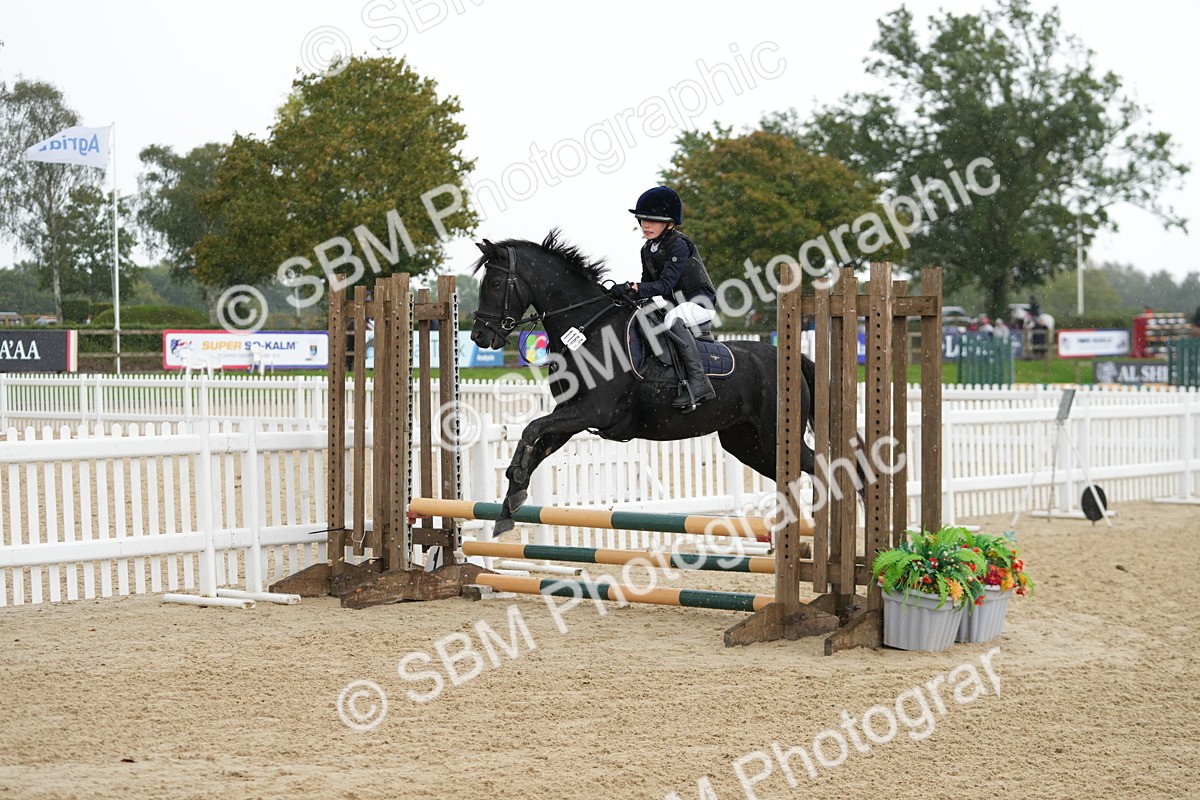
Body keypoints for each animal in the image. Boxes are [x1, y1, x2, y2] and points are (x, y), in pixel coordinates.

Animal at [469, 230, 817, 536]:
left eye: (495, 283)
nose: (479, 336)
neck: (587, 329)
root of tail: (791, 358)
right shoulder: (571, 415)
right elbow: (538, 442)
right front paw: (509, 506)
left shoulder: (593, 411)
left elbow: (532, 429)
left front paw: (514, 488)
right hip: (748, 444)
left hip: (774, 437)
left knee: (819, 465)